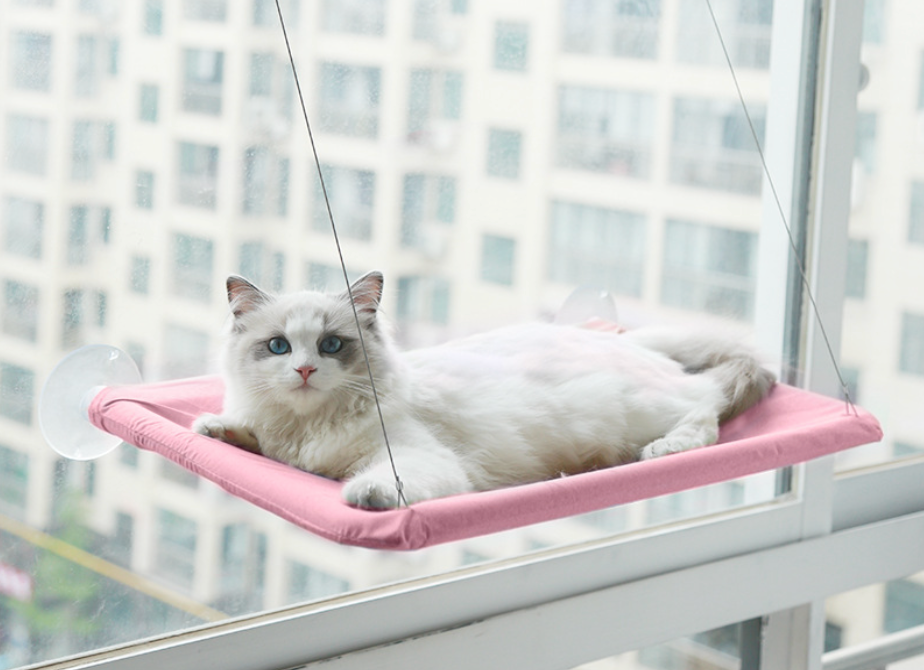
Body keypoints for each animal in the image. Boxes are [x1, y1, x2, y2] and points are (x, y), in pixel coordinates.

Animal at [193, 272, 772, 510]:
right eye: (279, 347)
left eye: (331, 345)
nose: (306, 371)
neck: (307, 428)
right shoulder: (277, 441)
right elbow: (247, 435)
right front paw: (213, 428)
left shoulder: (417, 458)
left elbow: (382, 481)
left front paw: (365, 495)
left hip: (642, 409)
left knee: (706, 408)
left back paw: (665, 449)